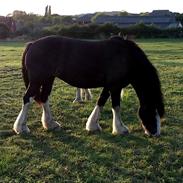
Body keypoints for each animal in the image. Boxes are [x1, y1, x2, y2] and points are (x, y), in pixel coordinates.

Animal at [13, 35, 164, 136]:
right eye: (152, 110)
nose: (155, 133)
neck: (126, 57)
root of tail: (32, 44)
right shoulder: (115, 86)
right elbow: (116, 106)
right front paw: (120, 129)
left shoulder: (109, 86)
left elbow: (101, 101)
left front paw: (92, 125)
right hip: (37, 80)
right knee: (27, 99)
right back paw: (21, 128)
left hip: (48, 79)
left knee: (44, 98)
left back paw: (50, 124)